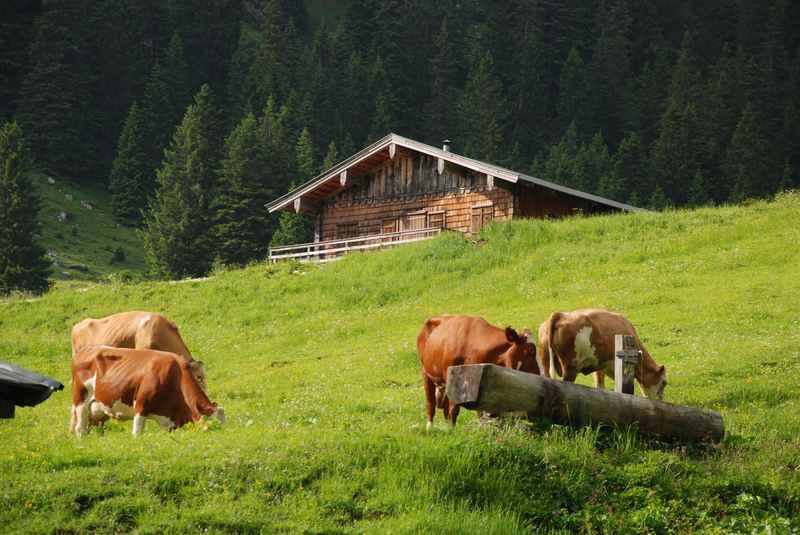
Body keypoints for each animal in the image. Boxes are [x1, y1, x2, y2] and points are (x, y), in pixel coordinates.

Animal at [70, 346, 225, 438]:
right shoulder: (141, 405)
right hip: (81, 400)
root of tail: (86, 350)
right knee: (79, 428)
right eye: (210, 428)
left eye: (225, 423)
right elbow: (137, 433)